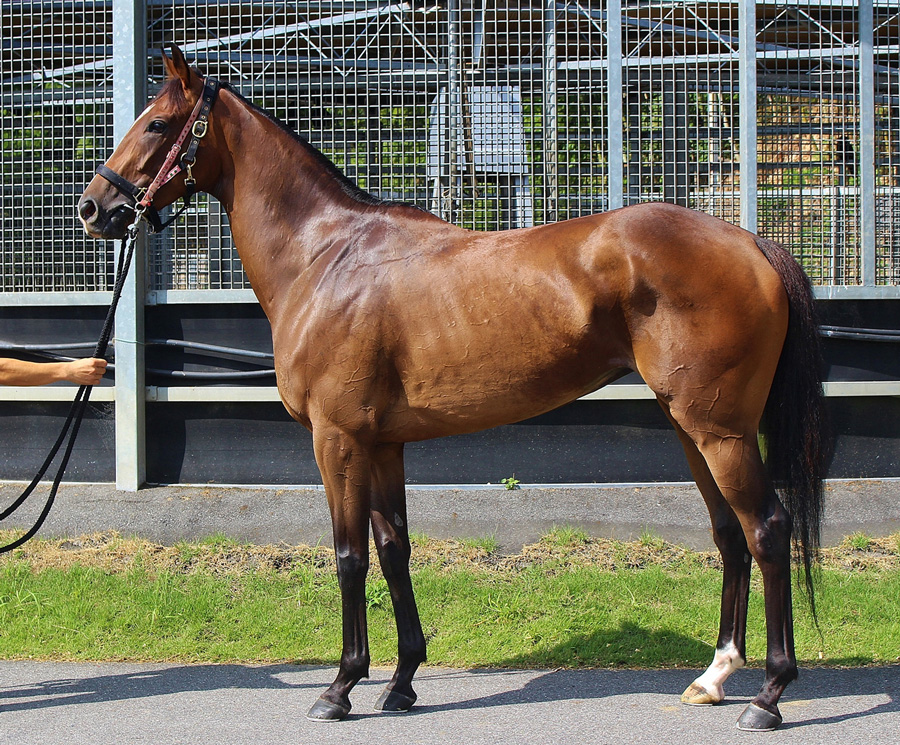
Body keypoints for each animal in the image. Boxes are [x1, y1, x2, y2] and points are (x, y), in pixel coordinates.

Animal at [78, 46, 829, 731]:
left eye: (157, 122)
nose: (95, 207)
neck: (326, 258)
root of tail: (750, 242)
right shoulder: (384, 444)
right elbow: (394, 550)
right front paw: (401, 682)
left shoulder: (338, 440)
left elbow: (349, 556)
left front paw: (340, 688)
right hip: (692, 428)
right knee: (730, 535)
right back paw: (714, 677)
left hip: (720, 432)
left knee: (767, 530)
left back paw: (768, 695)